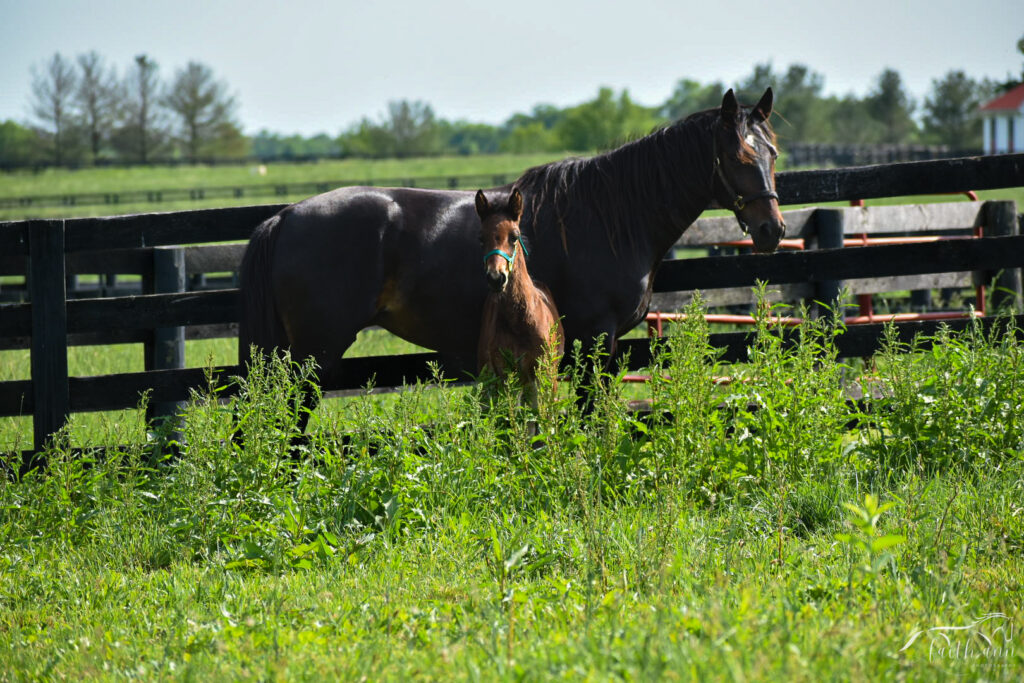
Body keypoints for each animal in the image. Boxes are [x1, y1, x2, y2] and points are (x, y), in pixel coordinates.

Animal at [475, 187, 564, 402]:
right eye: (481, 239)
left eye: (514, 237)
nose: (496, 278)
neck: (519, 320)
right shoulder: (507, 374)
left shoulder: (544, 374)